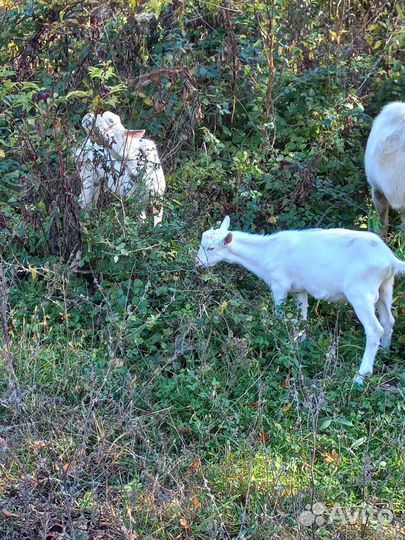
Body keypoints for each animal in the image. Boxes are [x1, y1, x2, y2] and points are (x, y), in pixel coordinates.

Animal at [196, 215, 404, 384]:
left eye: (210, 248)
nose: (197, 263)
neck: (266, 252)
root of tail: (390, 260)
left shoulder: (279, 285)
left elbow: (279, 317)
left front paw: (281, 343)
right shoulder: (300, 290)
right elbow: (301, 319)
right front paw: (301, 345)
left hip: (360, 293)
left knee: (374, 329)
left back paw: (361, 377)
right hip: (385, 287)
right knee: (388, 320)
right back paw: (385, 352)